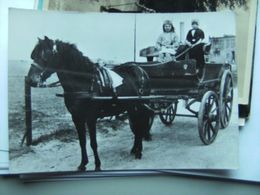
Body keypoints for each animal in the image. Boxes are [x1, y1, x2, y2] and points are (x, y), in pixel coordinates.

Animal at [27, 36, 154, 171]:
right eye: (33, 55)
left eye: (45, 56)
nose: (30, 80)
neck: (84, 83)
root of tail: (141, 71)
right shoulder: (76, 118)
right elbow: (82, 141)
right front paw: (83, 164)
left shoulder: (91, 118)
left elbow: (93, 143)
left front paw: (97, 165)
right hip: (131, 107)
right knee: (136, 127)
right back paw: (135, 149)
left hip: (139, 106)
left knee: (140, 126)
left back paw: (139, 151)